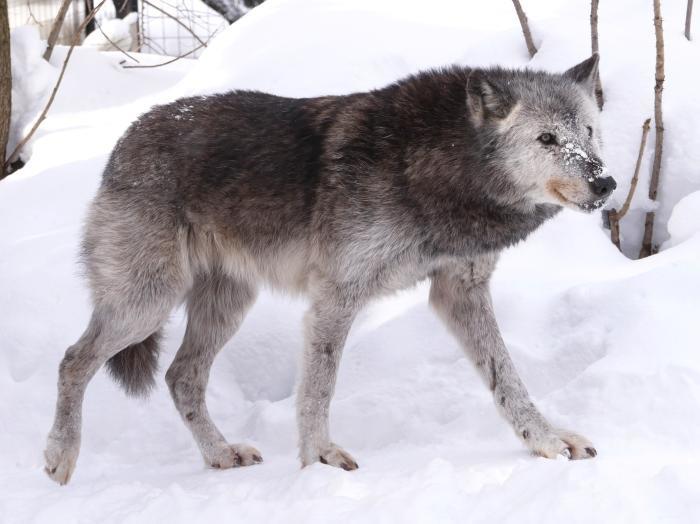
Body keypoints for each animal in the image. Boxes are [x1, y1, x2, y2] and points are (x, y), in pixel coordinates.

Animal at [43, 53, 612, 484]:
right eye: (545, 140)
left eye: (589, 132)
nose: (605, 182)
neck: (441, 170)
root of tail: (127, 137)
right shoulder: (337, 295)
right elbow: (319, 386)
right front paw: (319, 459)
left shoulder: (460, 290)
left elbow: (507, 378)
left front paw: (547, 441)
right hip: (148, 302)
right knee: (73, 360)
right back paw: (59, 456)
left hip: (227, 305)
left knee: (181, 377)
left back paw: (220, 455)